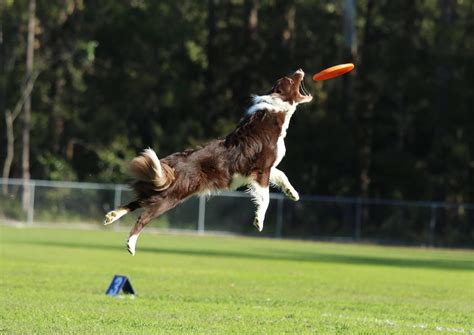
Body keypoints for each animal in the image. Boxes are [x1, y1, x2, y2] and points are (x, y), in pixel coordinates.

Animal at [104, 69, 312, 256]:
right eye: (290, 79)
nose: (300, 70)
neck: (275, 112)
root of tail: (172, 166)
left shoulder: (264, 169)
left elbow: (282, 175)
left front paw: (292, 193)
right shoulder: (260, 170)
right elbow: (265, 198)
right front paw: (259, 221)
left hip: (162, 190)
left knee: (138, 201)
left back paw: (112, 216)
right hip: (171, 197)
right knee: (143, 216)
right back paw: (131, 244)